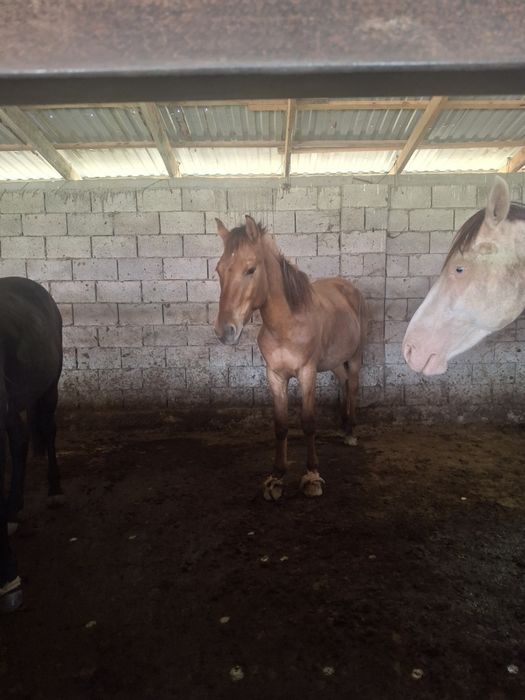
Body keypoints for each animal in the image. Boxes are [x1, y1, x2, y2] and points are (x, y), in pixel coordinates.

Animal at [214, 215, 367, 501]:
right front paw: (276, 477)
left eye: (250, 269)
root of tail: (348, 288)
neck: (286, 326)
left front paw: (312, 476)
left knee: (352, 385)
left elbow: (308, 423)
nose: (224, 331)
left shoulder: (307, 372)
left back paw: (351, 431)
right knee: (343, 382)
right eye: (219, 270)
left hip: (354, 356)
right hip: (333, 361)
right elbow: (281, 425)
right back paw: (343, 425)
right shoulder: (275, 376)